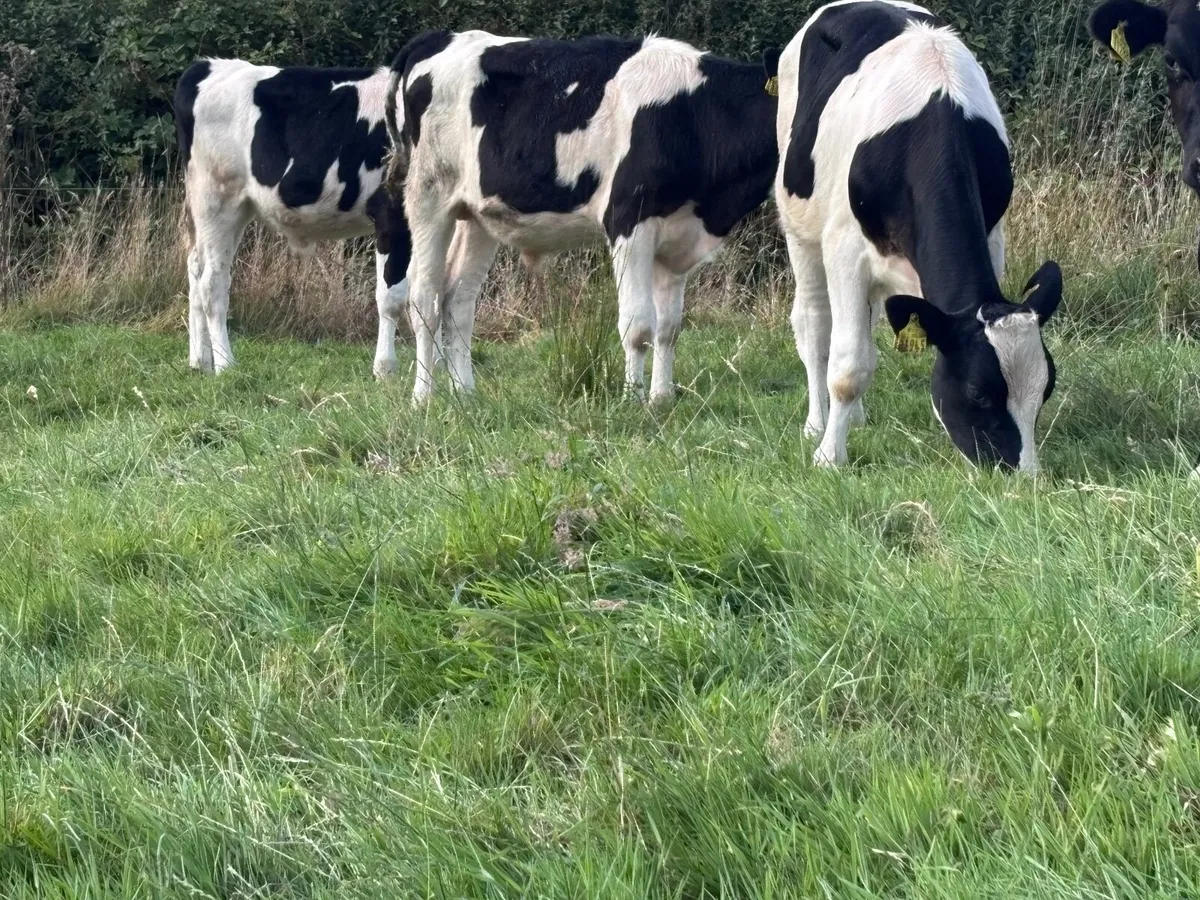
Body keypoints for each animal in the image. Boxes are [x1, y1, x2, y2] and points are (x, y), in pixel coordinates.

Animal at [174, 59, 460, 379]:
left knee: (195, 271)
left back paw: (199, 361)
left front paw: (437, 363)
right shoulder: (390, 214)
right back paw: (226, 365)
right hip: (216, 202)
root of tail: (207, 66)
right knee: (211, 284)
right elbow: (392, 297)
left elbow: (434, 290)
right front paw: (385, 369)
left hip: (228, 210)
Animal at [385, 29, 779, 403]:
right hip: (428, 196)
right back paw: (423, 396)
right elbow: (638, 325)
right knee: (424, 297)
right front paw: (633, 400)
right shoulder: (627, 221)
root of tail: (440, 37)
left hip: (476, 214)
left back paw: (465, 395)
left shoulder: (678, 235)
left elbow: (669, 328)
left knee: (458, 300)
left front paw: (661, 398)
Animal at [771, 0, 1064, 473]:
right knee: (815, 326)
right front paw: (829, 457)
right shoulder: (845, 251)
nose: (1025, 476)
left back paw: (855, 418)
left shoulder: (993, 238)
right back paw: (817, 423)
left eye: (1046, 388)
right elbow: (847, 366)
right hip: (800, 226)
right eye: (977, 393)